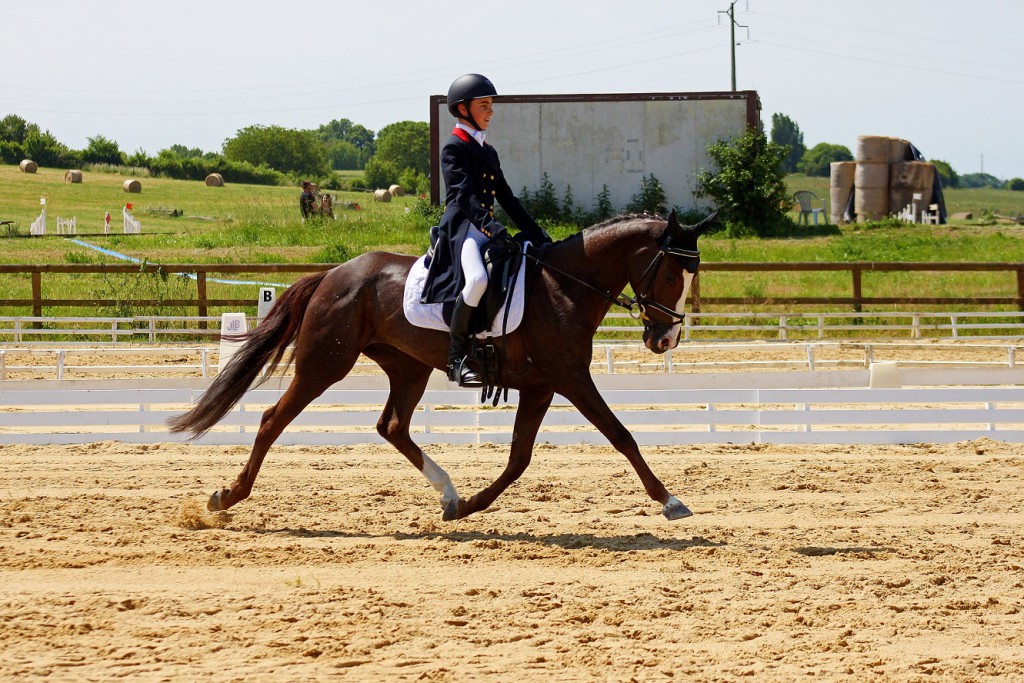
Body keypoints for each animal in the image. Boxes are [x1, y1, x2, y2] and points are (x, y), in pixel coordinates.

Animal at [165, 210, 712, 520]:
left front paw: (469, 506)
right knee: (271, 420)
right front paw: (670, 501)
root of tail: (334, 274)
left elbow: (519, 459)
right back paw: (226, 498)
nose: (665, 338)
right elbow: (622, 435)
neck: (563, 287)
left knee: (392, 427)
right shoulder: (571, 378)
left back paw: (448, 494)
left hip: (409, 368)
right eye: (671, 275)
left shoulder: (541, 386)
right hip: (324, 365)